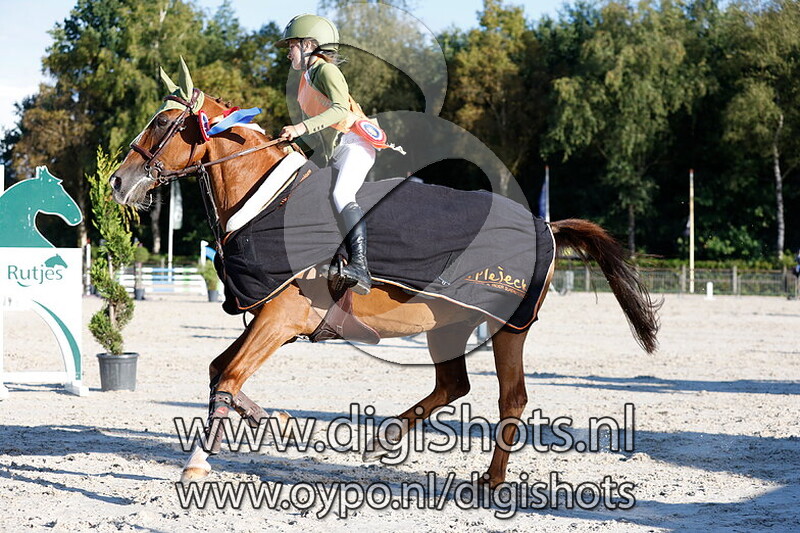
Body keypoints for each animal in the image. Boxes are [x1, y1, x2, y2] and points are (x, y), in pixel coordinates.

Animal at [110, 83, 660, 488]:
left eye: (161, 123)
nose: (118, 180)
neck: (268, 203)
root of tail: (545, 224)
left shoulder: (280, 318)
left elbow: (228, 376)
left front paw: (198, 462)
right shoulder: (268, 317)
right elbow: (219, 372)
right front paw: (275, 423)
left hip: (508, 326)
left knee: (512, 399)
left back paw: (491, 479)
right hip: (447, 323)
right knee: (453, 384)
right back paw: (384, 438)